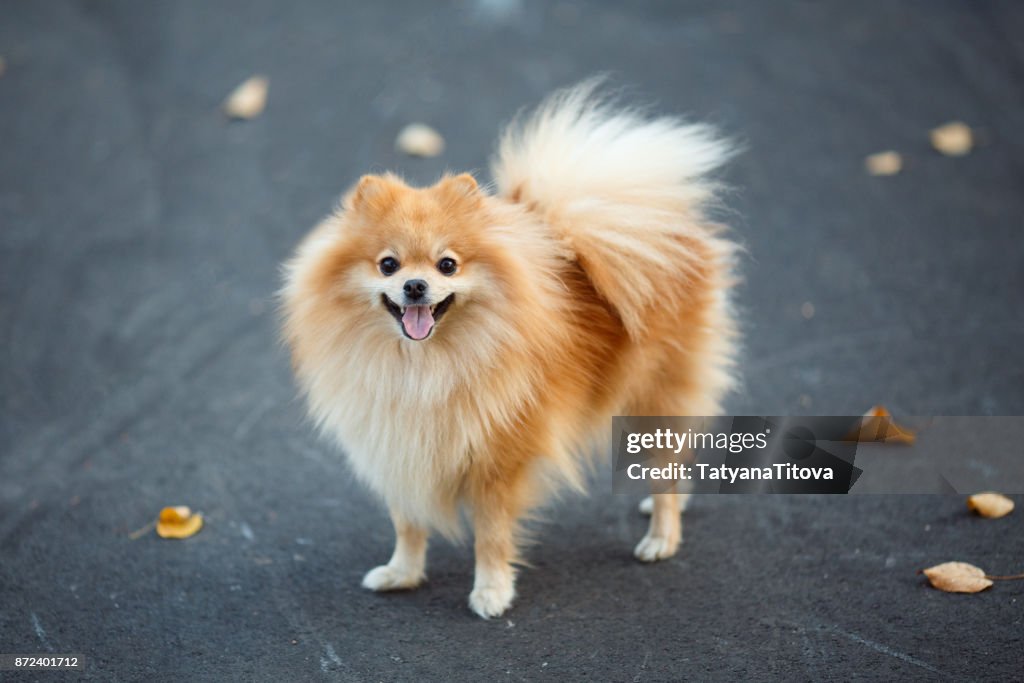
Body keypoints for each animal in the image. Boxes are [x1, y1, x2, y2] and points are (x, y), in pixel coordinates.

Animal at [284, 81, 741, 618]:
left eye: (447, 264)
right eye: (388, 264)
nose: (415, 286)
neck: (421, 366)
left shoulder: (498, 461)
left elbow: (491, 535)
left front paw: (491, 591)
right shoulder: (399, 448)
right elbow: (408, 522)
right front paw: (402, 573)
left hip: (653, 394)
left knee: (665, 466)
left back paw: (661, 536)